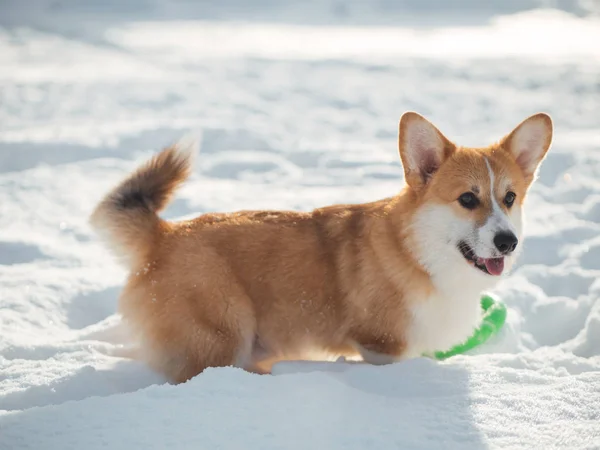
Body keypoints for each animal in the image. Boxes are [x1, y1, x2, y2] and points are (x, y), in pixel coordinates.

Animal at [90, 110, 552, 382]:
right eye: (468, 199)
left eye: (509, 198)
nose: (507, 242)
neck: (420, 256)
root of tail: (163, 235)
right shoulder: (381, 347)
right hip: (224, 336)